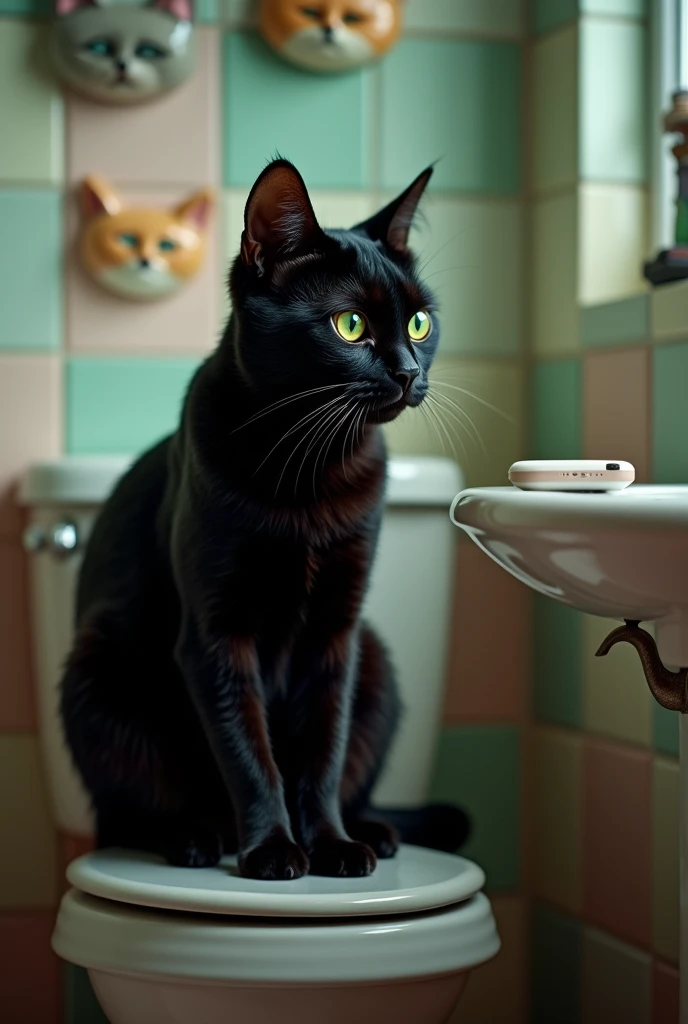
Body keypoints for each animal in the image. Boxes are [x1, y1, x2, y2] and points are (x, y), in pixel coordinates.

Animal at [63, 159, 440, 880]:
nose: (410, 372)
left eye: (419, 325)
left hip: (375, 658)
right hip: (96, 673)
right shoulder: (215, 635)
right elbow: (248, 752)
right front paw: (272, 848)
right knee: (120, 816)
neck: (312, 465)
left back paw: (374, 831)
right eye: (350, 325)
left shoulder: (336, 634)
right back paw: (195, 837)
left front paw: (330, 844)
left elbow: (322, 752)